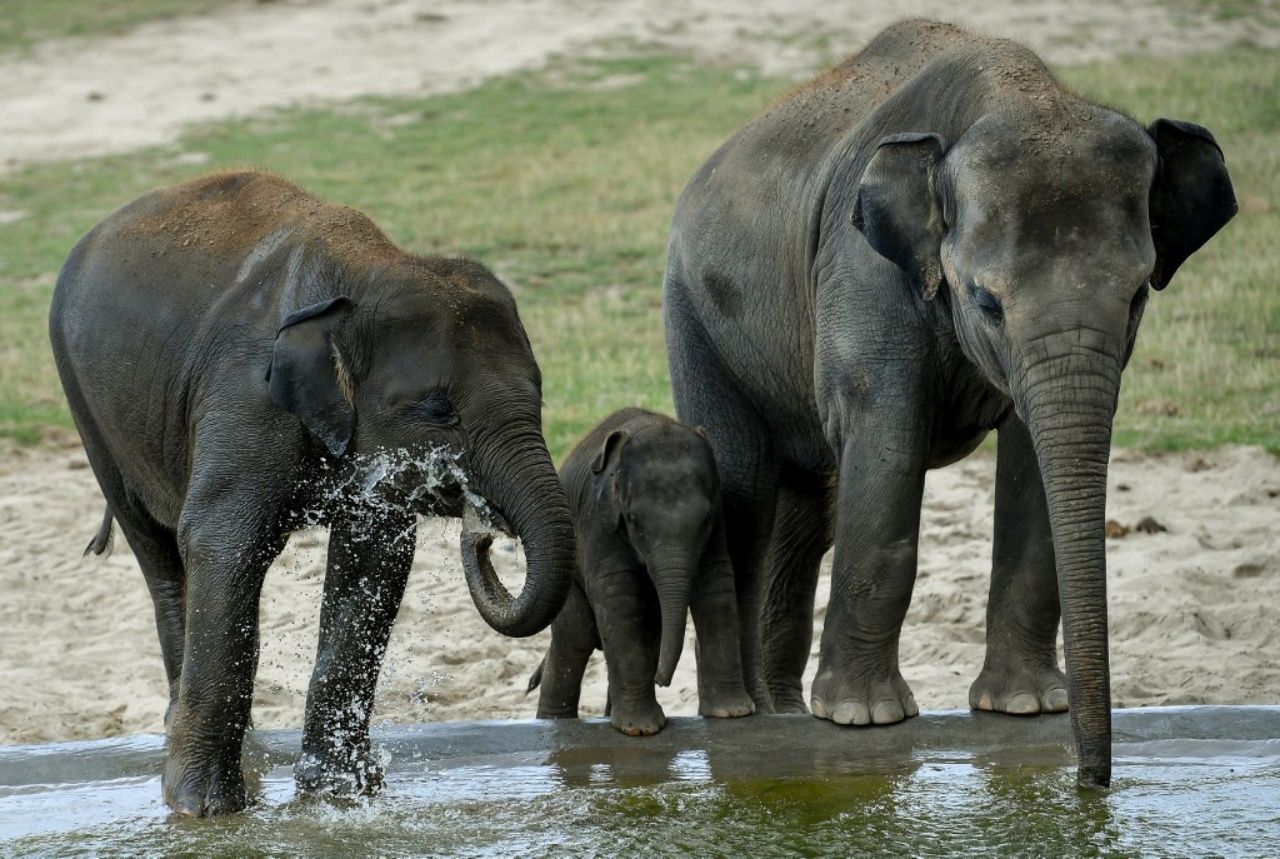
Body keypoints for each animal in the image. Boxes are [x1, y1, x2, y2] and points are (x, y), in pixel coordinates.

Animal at [47, 171, 573, 814]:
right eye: (438, 409)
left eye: (540, 396)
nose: (485, 529)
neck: (366, 271)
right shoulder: (246, 395)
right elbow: (224, 544)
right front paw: (207, 809)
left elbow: (373, 563)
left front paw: (341, 794)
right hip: (87, 406)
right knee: (159, 554)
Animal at [527, 407, 752, 732]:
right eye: (633, 520)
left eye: (706, 519)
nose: (662, 679)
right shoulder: (599, 521)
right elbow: (618, 598)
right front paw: (640, 730)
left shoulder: (718, 523)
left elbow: (715, 584)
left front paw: (732, 713)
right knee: (575, 637)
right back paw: (555, 723)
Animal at [660, 18, 1228, 793]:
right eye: (986, 301)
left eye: (1139, 293)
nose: (1094, 784)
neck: (1016, 94)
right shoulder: (862, 266)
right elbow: (889, 441)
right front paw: (862, 719)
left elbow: (1029, 461)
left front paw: (1025, 706)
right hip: (694, 314)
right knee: (745, 482)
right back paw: (742, 714)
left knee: (806, 513)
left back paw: (780, 712)